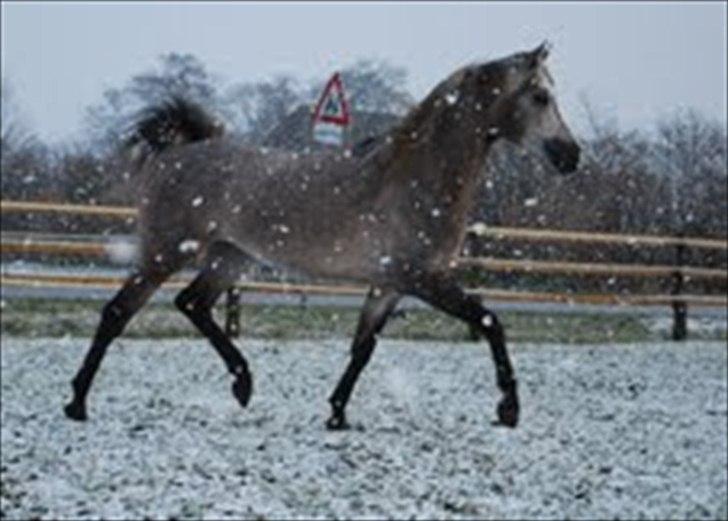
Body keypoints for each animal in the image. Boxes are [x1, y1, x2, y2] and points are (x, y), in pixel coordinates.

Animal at [65, 42, 584, 428]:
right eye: (540, 96)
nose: (571, 155)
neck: (414, 178)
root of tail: (180, 152)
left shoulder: (389, 284)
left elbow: (363, 347)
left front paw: (336, 414)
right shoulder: (422, 278)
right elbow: (490, 321)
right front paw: (509, 409)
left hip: (231, 257)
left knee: (192, 303)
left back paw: (243, 384)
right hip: (165, 253)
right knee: (117, 313)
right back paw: (77, 404)